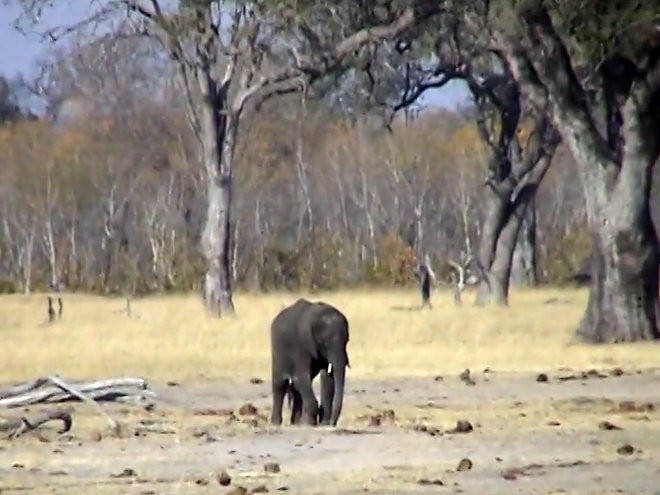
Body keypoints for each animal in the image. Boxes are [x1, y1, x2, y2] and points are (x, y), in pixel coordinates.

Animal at [268, 296, 350, 428]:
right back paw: (276, 423)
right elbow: (301, 377)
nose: (332, 423)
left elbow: (327, 378)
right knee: (280, 383)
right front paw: (309, 424)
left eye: (347, 341)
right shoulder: (301, 345)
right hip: (277, 350)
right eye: (325, 344)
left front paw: (323, 424)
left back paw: (296, 423)